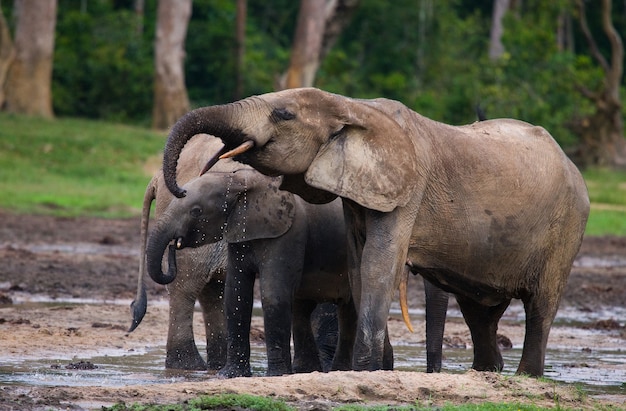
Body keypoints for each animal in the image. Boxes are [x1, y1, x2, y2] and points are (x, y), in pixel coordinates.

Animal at [158, 88, 588, 378]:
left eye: (283, 114)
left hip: (567, 226)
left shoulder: (407, 191)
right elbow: (358, 265)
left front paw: (364, 370)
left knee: (541, 305)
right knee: (478, 311)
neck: (353, 107)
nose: (180, 187)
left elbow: (378, 265)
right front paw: (370, 369)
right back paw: (485, 374)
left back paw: (526, 376)